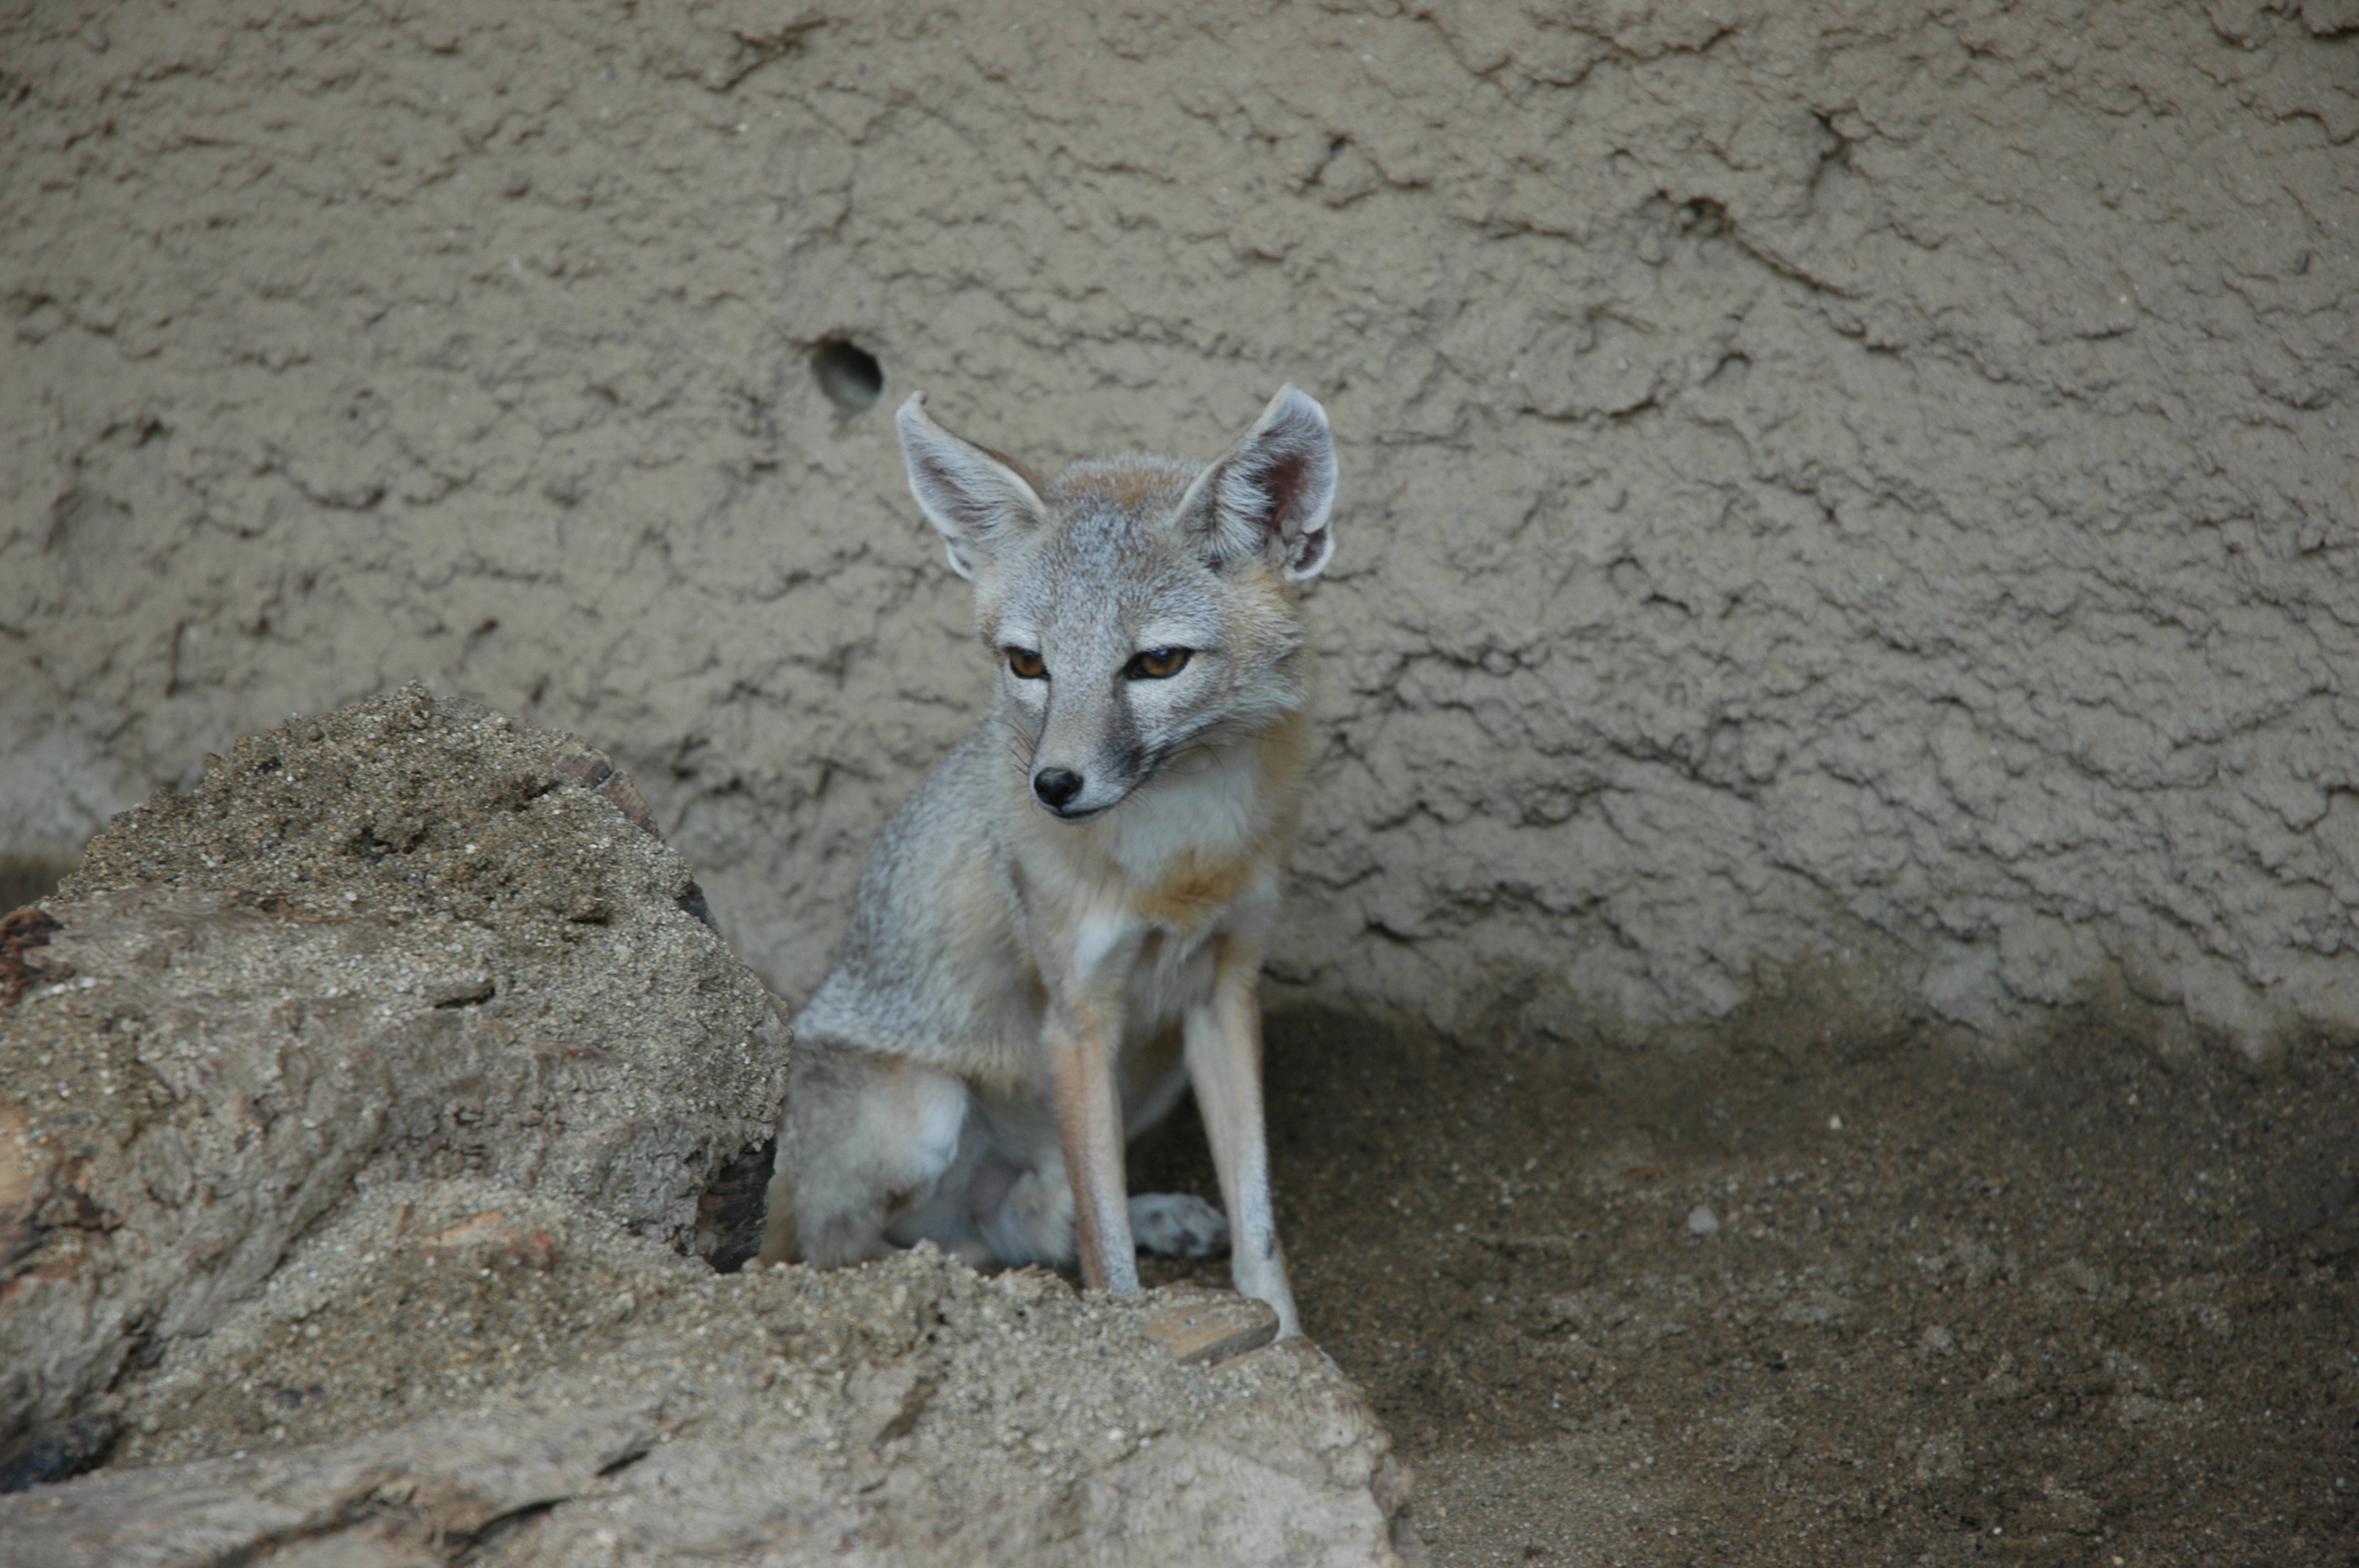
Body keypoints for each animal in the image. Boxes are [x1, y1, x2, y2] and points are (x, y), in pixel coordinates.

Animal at [759, 379, 1349, 1330]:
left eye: (1158, 662)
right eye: (1027, 663)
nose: (1053, 785)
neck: (1180, 854)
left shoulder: (1225, 987)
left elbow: (1257, 1224)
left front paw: (1291, 1345)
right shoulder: (1076, 1017)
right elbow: (1105, 1252)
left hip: (1151, 1071)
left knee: (1032, 1221)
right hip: (925, 1111)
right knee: (855, 1252)